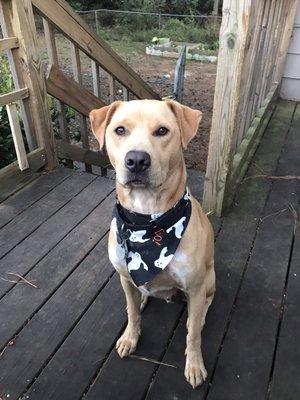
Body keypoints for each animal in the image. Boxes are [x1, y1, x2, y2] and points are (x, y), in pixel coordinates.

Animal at [89, 99, 216, 388]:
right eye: (120, 130)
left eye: (162, 131)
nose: (137, 160)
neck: (147, 219)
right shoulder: (125, 277)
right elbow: (132, 312)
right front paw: (130, 337)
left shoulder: (195, 286)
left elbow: (193, 334)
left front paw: (194, 364)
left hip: (210, 278)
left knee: (204, 306)